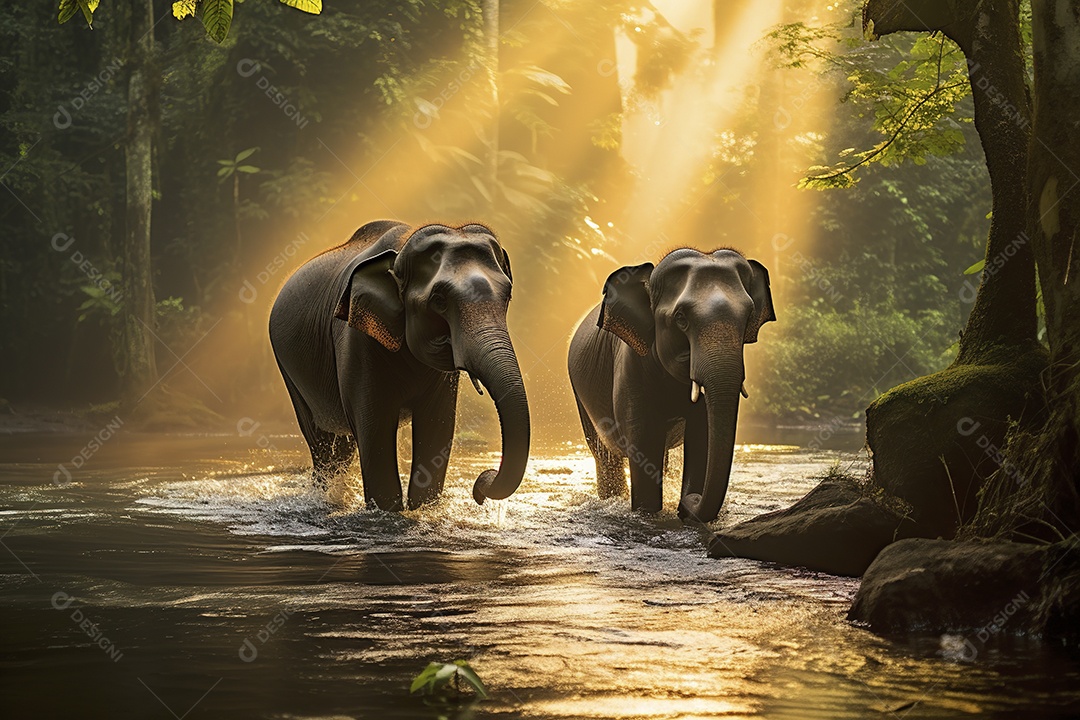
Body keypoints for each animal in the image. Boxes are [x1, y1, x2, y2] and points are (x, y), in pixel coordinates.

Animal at [269, 220, 530, 511]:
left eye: (508, 296)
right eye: (439, 300)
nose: (481, 486)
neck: (401, 251)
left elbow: (437, 425)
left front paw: (422, 509)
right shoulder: (355, 339)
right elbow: (374, 427)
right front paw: (388, 511)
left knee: (342, 447)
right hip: (288, 369)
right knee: (321, 442)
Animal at [567, 248, 775, 524]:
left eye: (749, 316)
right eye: (680, 318)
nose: (690, 501)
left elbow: (702, 436)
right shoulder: (632, 365)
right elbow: (644, 438)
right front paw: (648, 513)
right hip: (579, 395)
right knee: (604, 455)